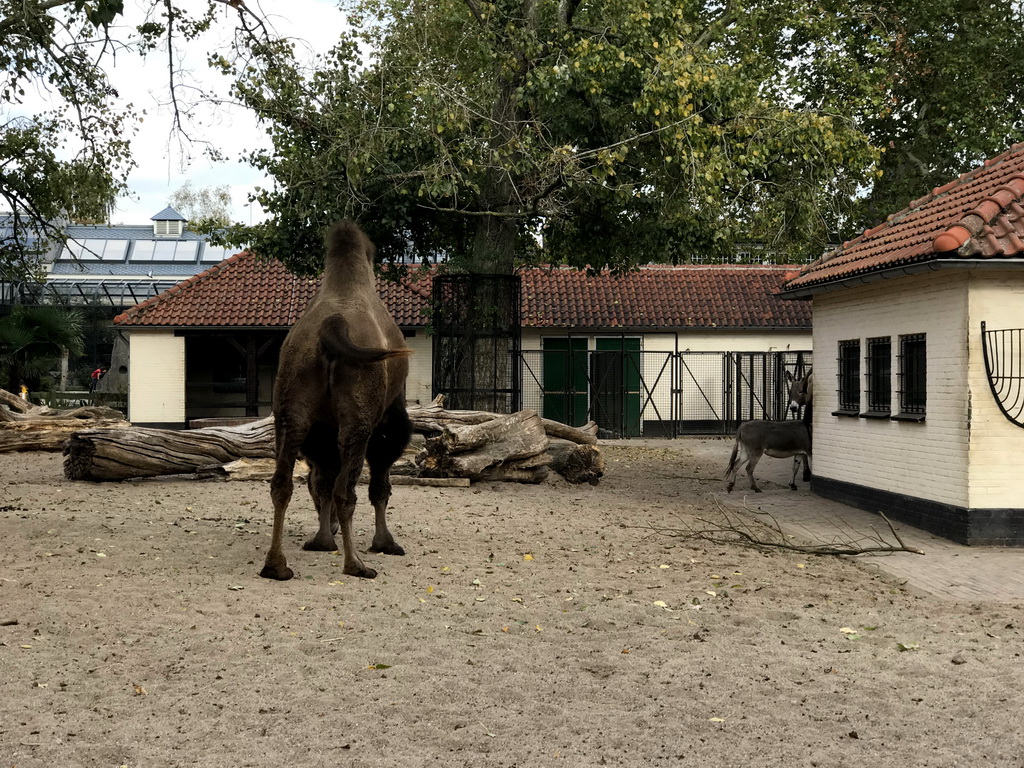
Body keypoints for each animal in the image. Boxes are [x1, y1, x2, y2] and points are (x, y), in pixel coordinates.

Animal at [260, 222, 411, 581]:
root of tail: (333, 326)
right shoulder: (389, 419)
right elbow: (380, 484)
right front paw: (385, 543)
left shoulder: (319, 432)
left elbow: (322, 480)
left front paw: (322, 540)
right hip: (359, 419)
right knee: (348, 490)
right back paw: (356, 565)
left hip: (291, 410)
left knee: (282, 483)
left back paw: (276, 566)